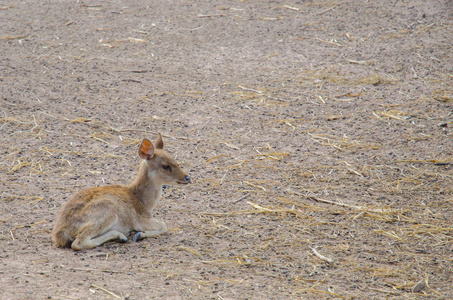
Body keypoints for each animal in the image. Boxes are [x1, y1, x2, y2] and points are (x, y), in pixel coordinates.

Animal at [52, 134, 190, 251]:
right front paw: (138, 235)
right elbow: (164, 225)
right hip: (106, 211)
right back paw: (121, 236)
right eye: (165, 166)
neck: (144, 202)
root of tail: (59, 233)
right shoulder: (138, 219)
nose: (187, 178)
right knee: (79, 242)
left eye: (176, 161)